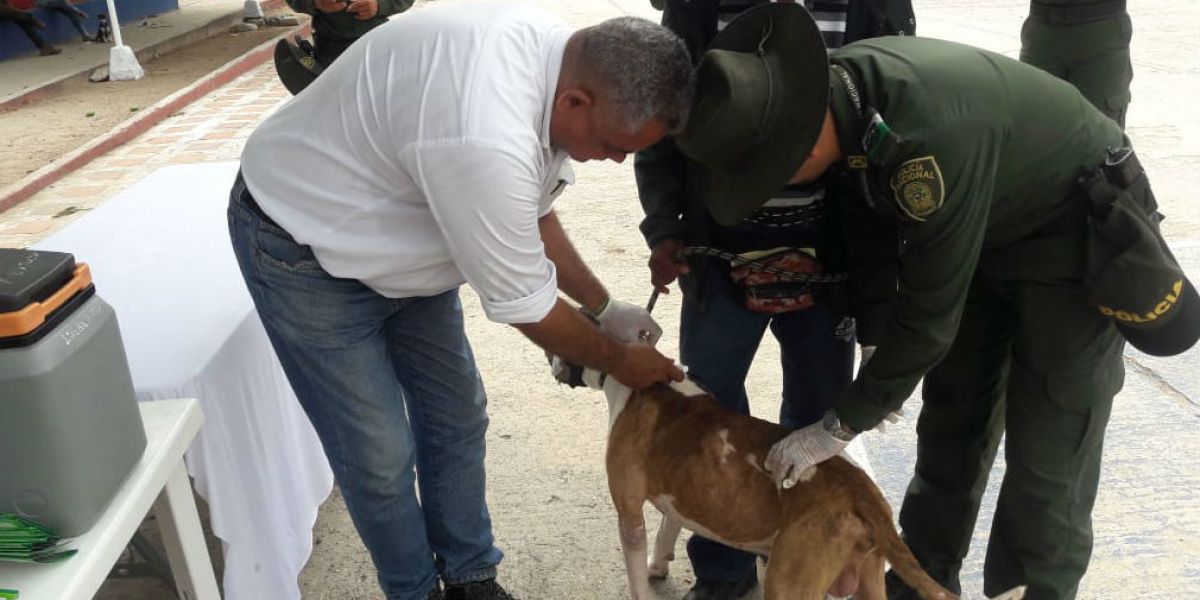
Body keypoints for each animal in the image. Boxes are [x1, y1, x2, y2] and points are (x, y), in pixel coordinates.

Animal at [556, 360, 1027, 600]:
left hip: (789, 580)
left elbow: (638, 560)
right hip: (868, 574)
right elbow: (669, 526)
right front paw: (660, 562)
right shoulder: (678, 493)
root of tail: (862, 493)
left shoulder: (628, 511)